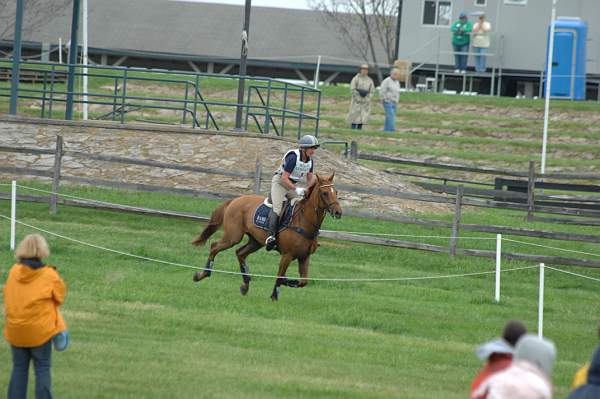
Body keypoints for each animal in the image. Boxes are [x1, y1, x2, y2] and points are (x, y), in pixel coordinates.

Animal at [192, 173, 342, 302]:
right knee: (215, 246)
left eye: (336, 192)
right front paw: (274, 296)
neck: (303, 220)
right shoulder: (287, 255)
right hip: (233, 237)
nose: (338, 212)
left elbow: (303, 281)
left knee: (240, 253)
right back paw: (202, 275)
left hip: (255, 242)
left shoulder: (304, 257)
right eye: (325, 193)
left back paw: (245, 285)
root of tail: (235, 200)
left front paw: (289, 282)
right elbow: (280, 276)